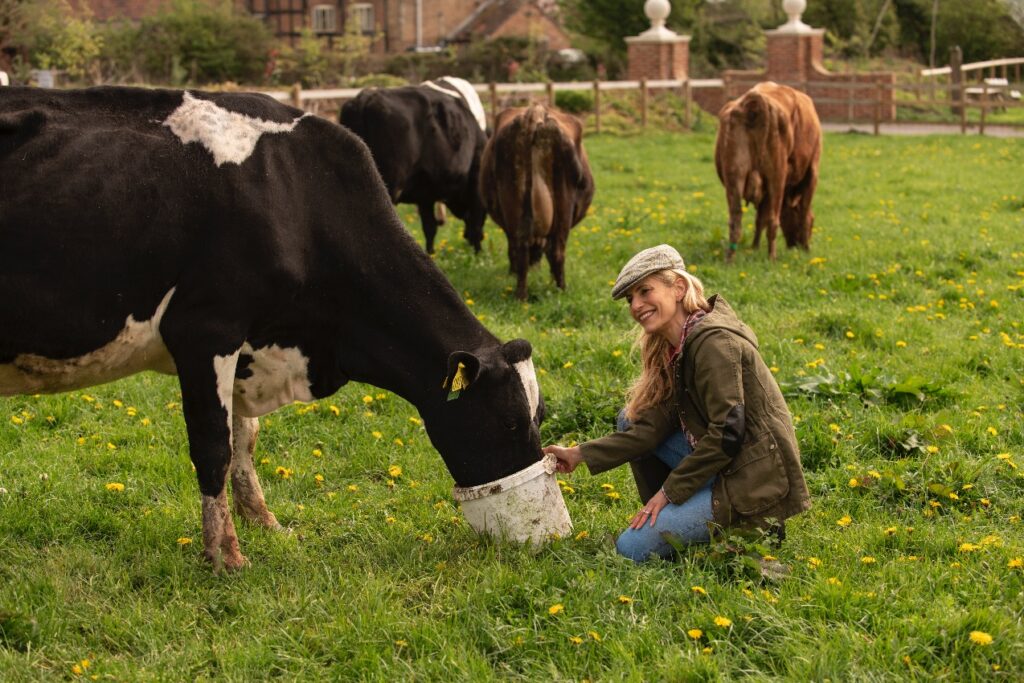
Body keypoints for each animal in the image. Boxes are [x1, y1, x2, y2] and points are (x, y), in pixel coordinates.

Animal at [339, 76, 488, 255]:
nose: (468, 240)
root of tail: (365, 98)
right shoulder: (475, 180)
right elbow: (476, 221)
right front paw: (478, 253)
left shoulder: (426, 193)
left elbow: (430, 227)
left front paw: (431, 253)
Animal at [479, 103, 594, 301]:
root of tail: (536, 112)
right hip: (563, 206)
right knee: (555, 252)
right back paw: (561, 290)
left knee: (521, 250)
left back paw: (521, 296)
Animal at [714, 81, 822, 262]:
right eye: (814, 222)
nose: (796, 246)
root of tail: (754, 101)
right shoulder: (812, 173)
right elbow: (804, 213)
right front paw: (807, 249)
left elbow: (760, 218)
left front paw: (754, 247)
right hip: (776, 176)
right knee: (773, 220)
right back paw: (772, 257)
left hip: (734, 176)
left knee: (735, 220)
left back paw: (730, 259)